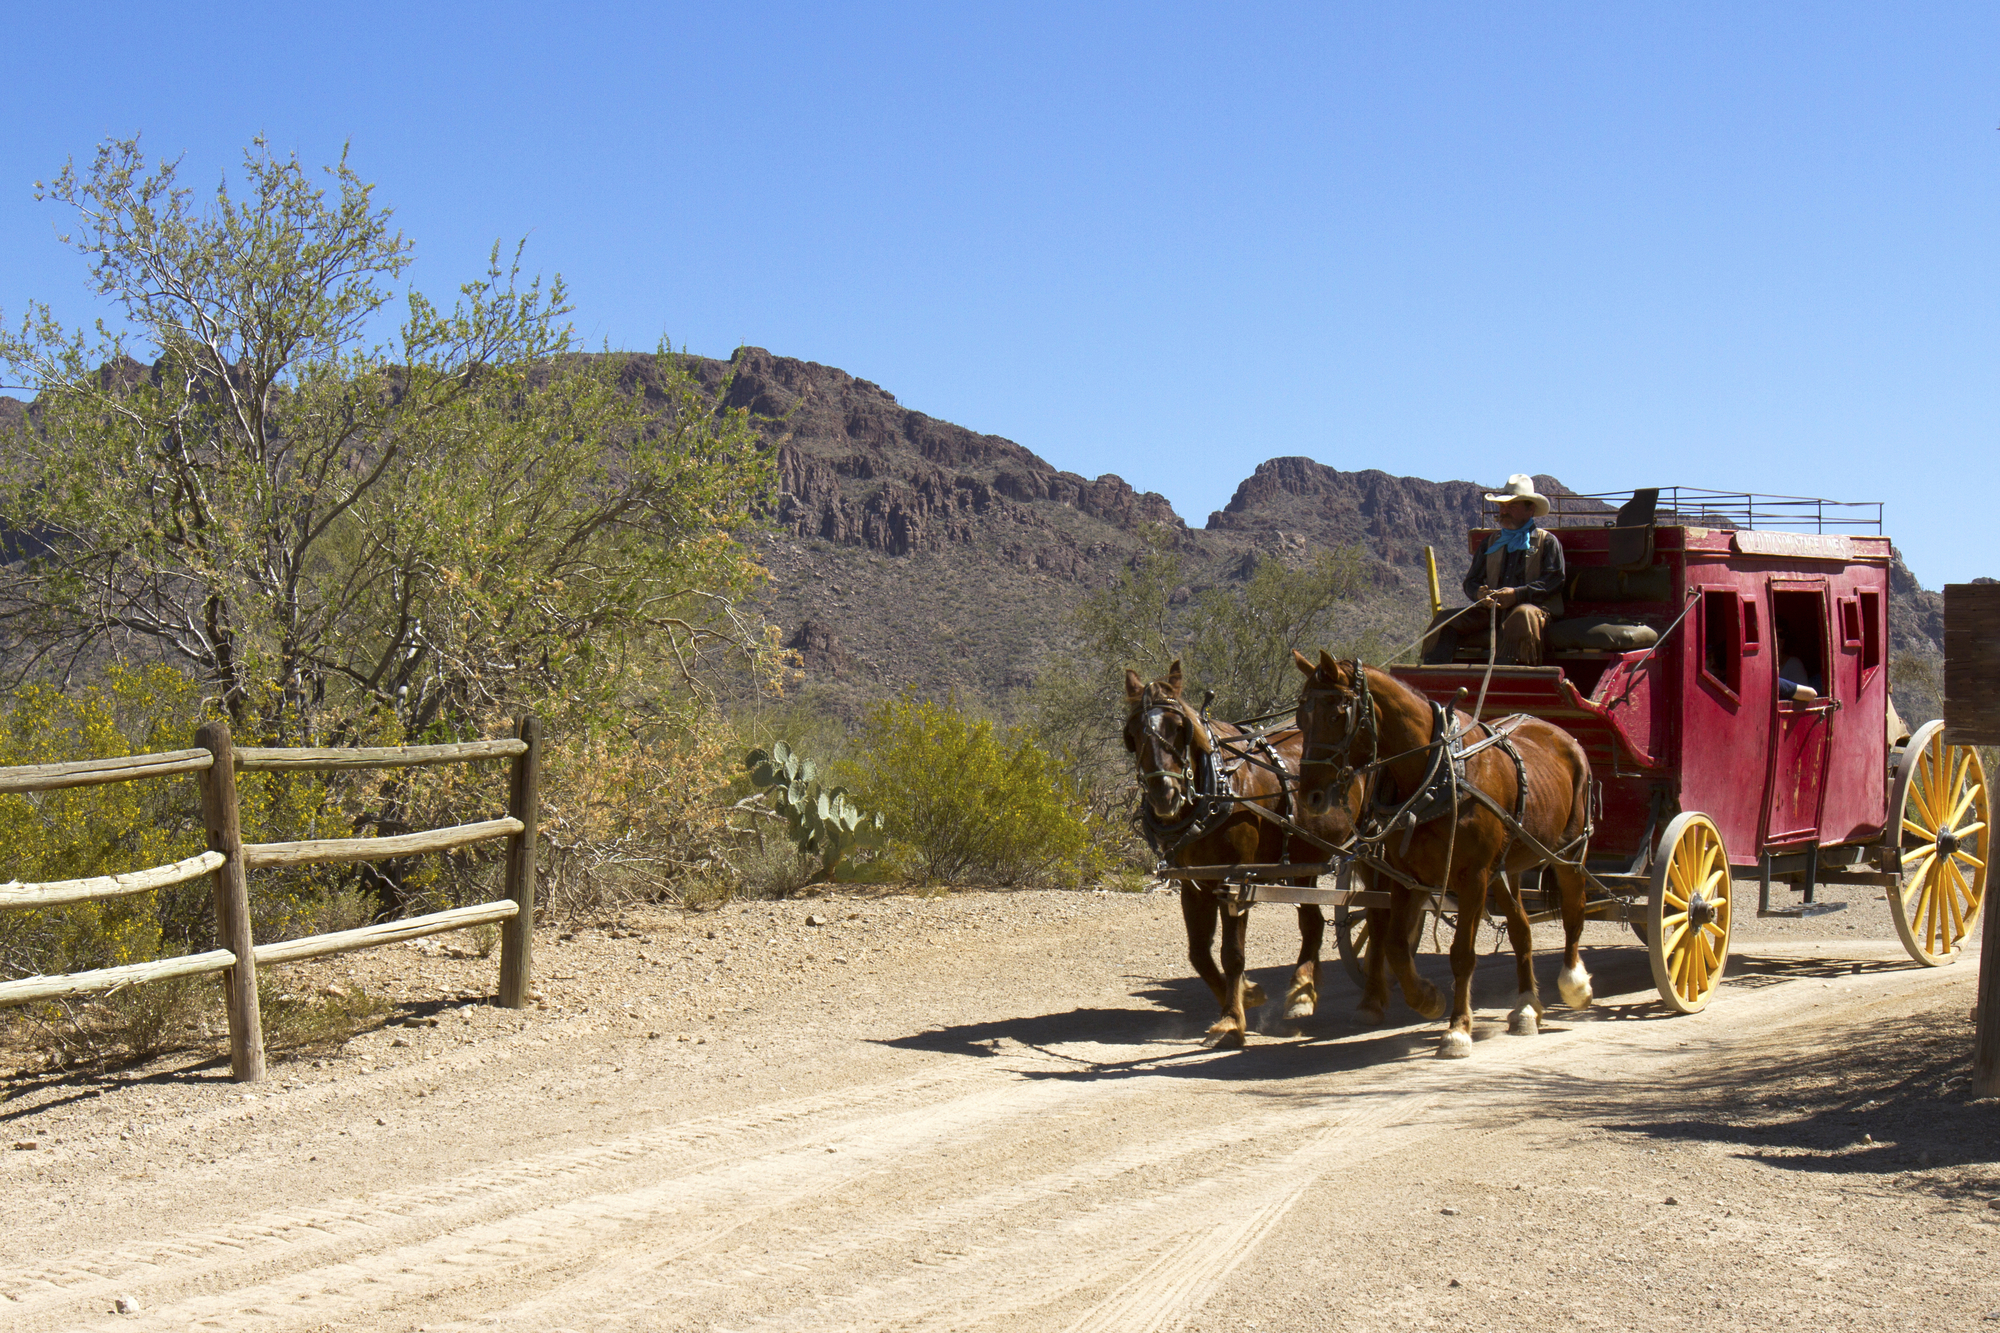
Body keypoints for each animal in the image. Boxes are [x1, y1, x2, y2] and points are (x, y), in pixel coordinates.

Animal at [1120, 660, 1352, 1040]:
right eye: (1134, 732)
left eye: (1179, 728)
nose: (1163, 795)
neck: (1218, 789)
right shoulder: (1195, 883)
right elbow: (1199, 954)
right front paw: (1248, 993)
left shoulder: (1237, 880)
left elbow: (1232, 953)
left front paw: (1232, 1017)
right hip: (1304, 862)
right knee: (1313, 922)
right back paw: (1302, 992)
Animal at [1296, 648, 1592, 1056]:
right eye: (1300, 716)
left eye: (1337, 715)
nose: (1309, 796)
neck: (1436, 773)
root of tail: (1563, 735)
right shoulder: (1407, 876)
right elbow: (1394, 945)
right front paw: (1426, 998)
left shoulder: (1473, 876)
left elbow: (1462, 953)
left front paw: (1457, 1030)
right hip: (1506, 870)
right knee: (1521, 928)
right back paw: (1526, 1008)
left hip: (1569, 853)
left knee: (1574, 912)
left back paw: (1575, 985)